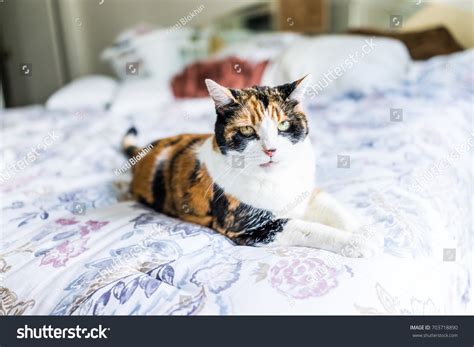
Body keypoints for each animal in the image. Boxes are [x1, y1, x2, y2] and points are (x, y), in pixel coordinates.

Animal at [123, 78, 382, 258]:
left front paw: (367, 231)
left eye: (283, 125)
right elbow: (310, 228)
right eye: (247, 130)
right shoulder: (252, 227)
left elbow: (337, 209)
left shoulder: (309, 193)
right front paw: (357, 243)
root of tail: (144, 151)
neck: (278, 179)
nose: (270, 150)